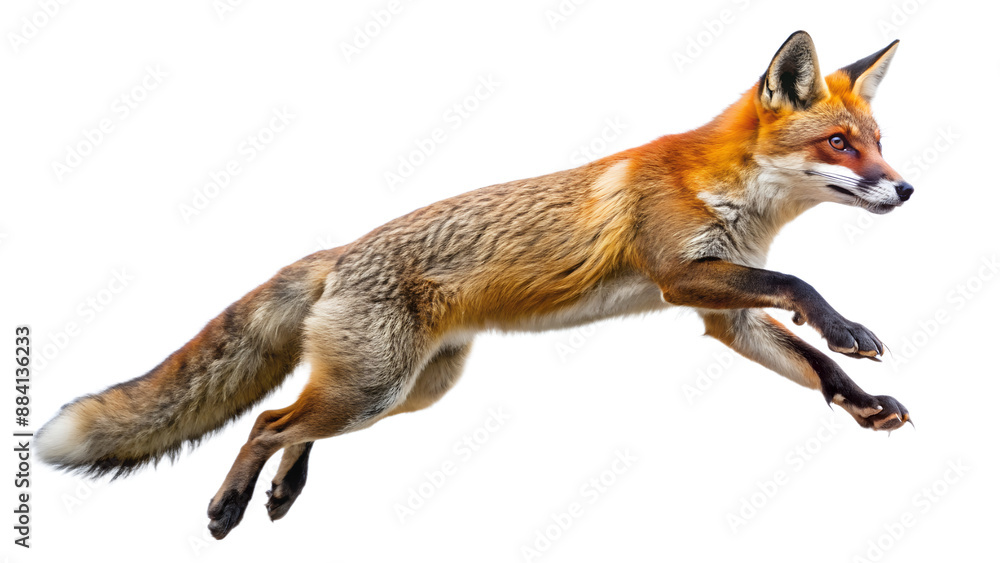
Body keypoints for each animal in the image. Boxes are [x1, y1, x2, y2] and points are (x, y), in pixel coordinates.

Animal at [37, 31, 914, 539]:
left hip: (406, 391)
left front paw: (862, 397)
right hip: (375, 387)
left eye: (876, 141)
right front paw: (848, 329)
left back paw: (284, 488)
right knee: (264, 421)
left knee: (293, 423)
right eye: (840, 144)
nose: (906, 190)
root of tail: (340, 252)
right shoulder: (680, 274)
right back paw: (228, 506)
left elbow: (810, 360)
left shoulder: (720, 313)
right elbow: (795, 281)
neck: (733, 194)